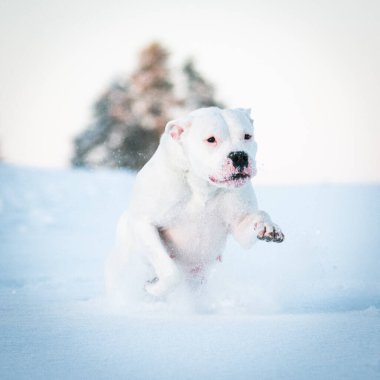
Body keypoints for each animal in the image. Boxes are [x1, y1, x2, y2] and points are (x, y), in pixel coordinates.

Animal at [105, 106, 284, 300]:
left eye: (247, 136)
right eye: (211, 139)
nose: (239, 156)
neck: (202, 186)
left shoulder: (239, 225)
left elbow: (258, 216)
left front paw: (268, 227)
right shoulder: (145, 224)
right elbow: (171, 272)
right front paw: (153, 289)